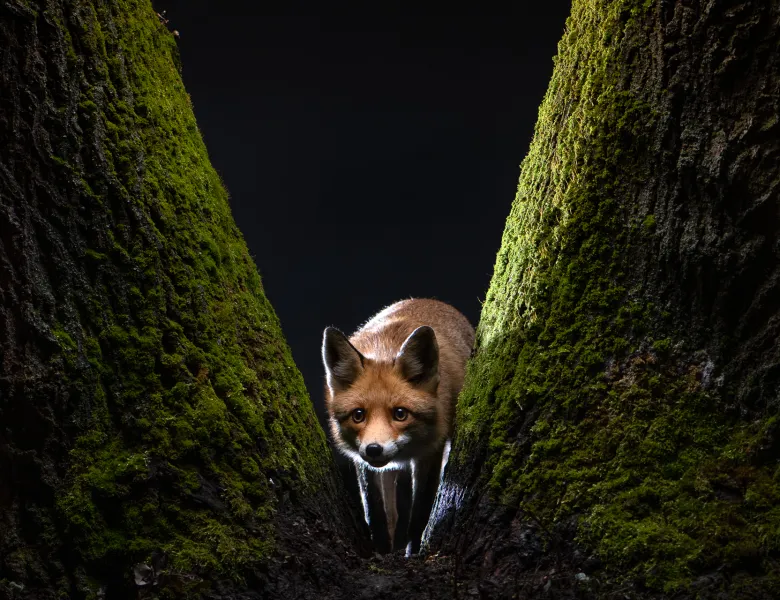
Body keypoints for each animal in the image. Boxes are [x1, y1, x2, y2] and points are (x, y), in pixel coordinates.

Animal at [322, 298, 474, 555]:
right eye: (358, 415)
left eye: (400, 414)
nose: (374, 449)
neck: (385, 348)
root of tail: (429, 299)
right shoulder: (362, 461)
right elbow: (375, 513)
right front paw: (381, 550)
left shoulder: (430, 454)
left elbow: (419, 513)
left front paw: (412, 553)